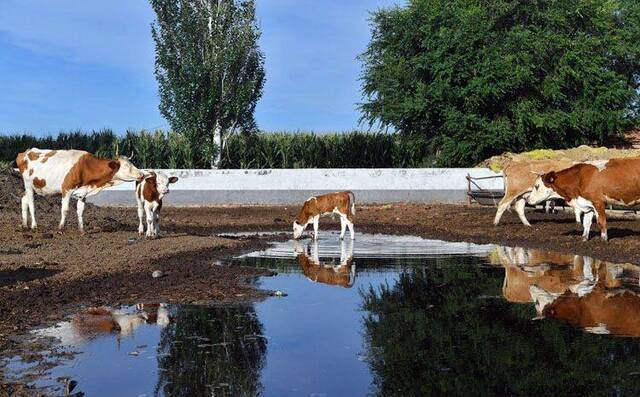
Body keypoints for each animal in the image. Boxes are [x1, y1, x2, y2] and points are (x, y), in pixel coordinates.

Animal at [14, 150, 145, 234]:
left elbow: (81, 211)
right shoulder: (66, 190)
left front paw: (82, 230)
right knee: (31, 203)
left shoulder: (83, 194)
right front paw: (61, 228)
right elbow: (65, 210)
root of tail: (25, 152)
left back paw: (24, 225)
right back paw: (34, 226)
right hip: (28, 185)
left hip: (35, 187)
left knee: (24, 199)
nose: (142, 174)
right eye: (126, 166)